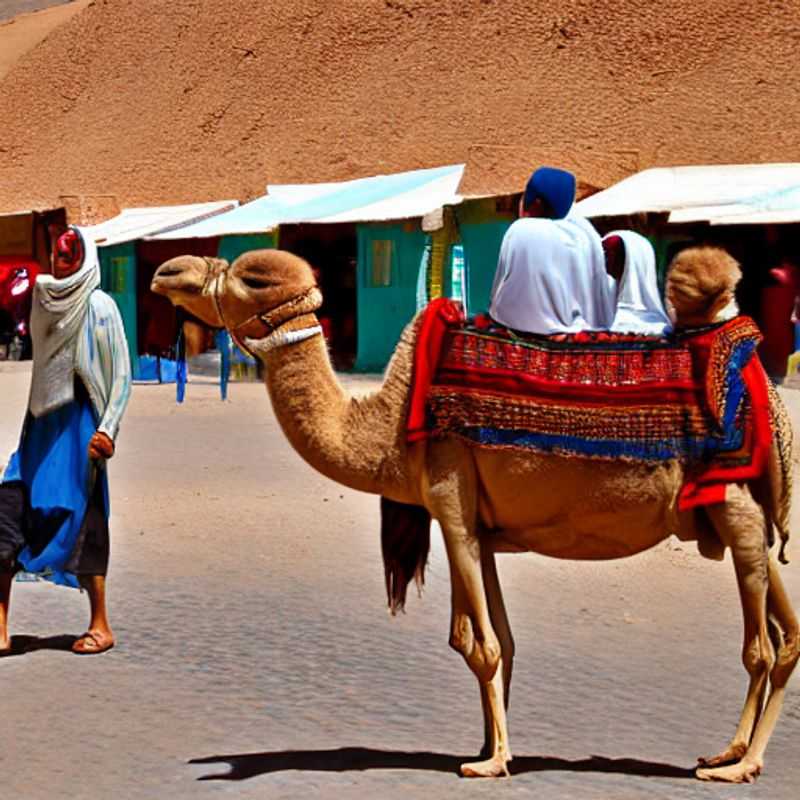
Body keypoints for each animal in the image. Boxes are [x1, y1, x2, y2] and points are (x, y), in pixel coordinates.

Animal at [151, 245, 798, 784]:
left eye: (254, 278)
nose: (168, 271)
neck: (388, 430)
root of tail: (760, 380)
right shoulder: (480, 527)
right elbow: (494, 642)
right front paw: (490, 746)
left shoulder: (451, 502)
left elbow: (480, 645)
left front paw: (491, 763)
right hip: (746, 517)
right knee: (787, 634)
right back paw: (734, 753)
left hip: (732, 504)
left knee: (760, 647)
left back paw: (738, 766)